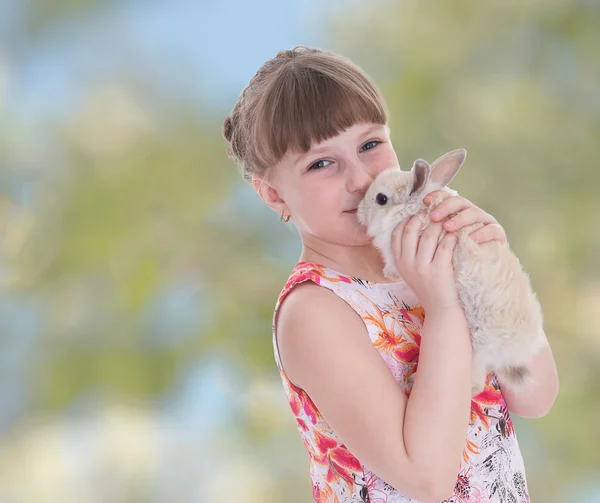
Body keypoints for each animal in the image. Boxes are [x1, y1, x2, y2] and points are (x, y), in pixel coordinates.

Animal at [356, 150, 548, 398]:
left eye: (381, 199)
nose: (359, 210)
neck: (411, 211)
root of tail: (517, 350)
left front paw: (389, 275)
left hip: (477, 345)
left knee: (475, 384)